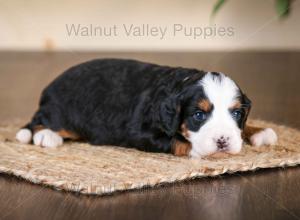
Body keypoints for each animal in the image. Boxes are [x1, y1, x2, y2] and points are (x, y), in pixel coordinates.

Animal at [15, 59, 278, 157]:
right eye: (198, 115)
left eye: (236, 113)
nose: (223, 141)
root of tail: (50, 86)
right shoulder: (140, 132)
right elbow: (177, 141)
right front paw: (198, 149)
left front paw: (259, 131)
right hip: (62, 112)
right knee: (38, 120)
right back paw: (47, 136)